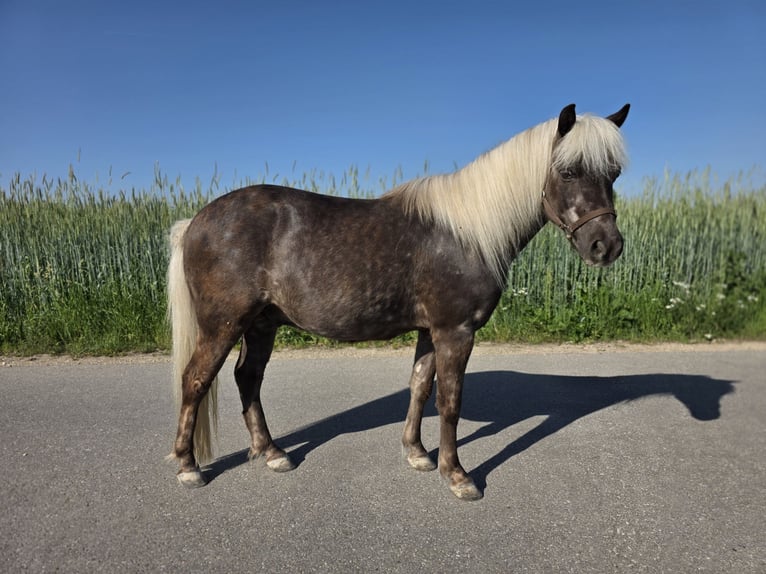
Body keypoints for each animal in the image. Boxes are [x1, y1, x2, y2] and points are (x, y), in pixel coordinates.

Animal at [167, 103, 630, 501]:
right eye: (568, 172)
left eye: (614, 173)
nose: (605, 246)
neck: (468, 233)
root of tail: (195, 221)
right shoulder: (455, 332)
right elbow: (450, 402)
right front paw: (457, 475)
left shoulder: (430, 331)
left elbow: (420, 387)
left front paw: (417, 454)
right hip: (223, 325)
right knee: (195, 380)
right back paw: (188, 467)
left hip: (261, 325)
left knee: (248, 378)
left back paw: (272, 453)